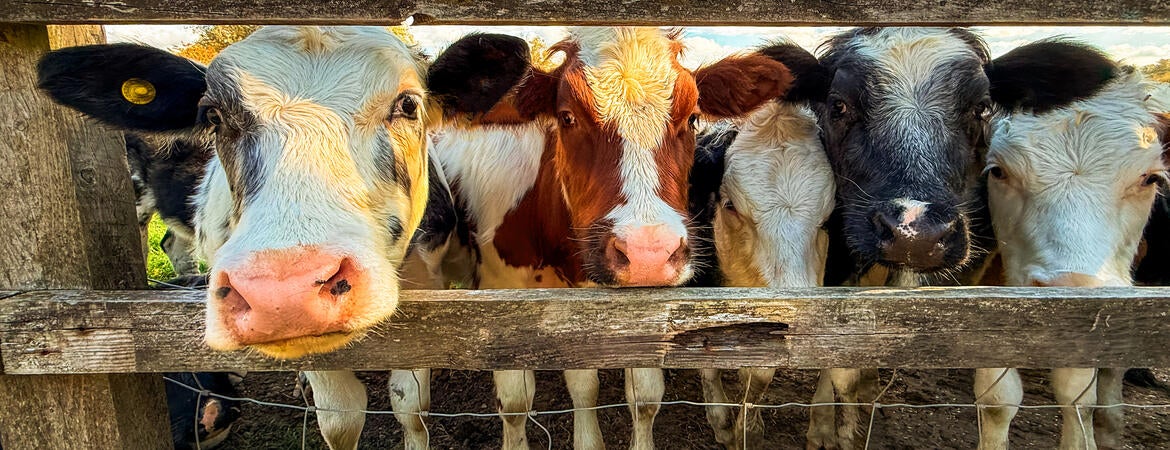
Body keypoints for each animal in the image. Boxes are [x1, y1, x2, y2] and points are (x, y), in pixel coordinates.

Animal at [433, 26, 793, 450]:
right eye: (567, 116)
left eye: (692, 118)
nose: (647, 253)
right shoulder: (497, 292)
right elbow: (519, 402)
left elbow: (640, 396)